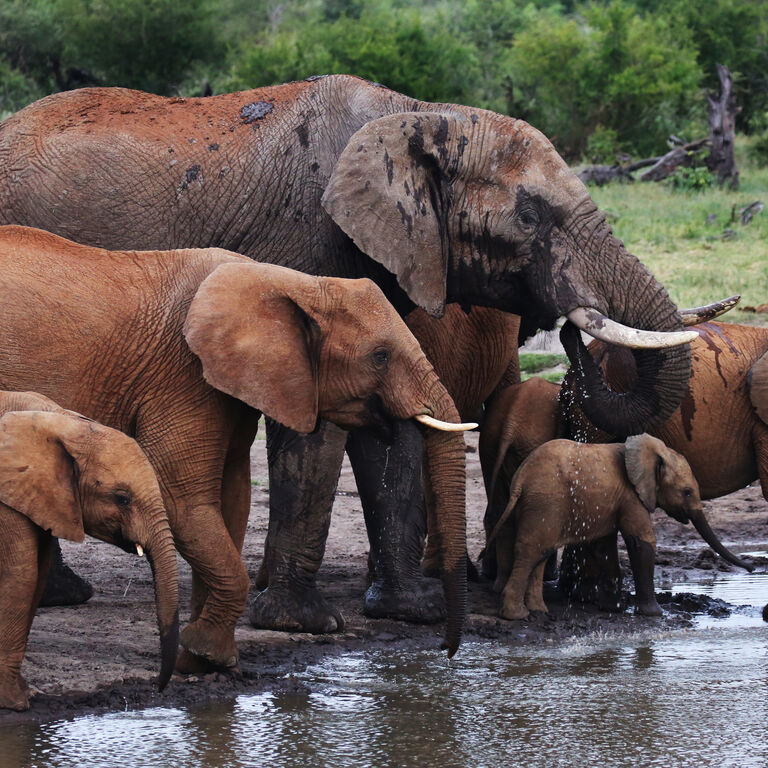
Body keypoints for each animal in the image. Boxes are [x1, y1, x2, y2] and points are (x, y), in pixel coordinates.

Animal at [0, 225, 474, 668]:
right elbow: (181, 499)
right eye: (380, 356)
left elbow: (232, 499)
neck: (294, 283)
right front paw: (207, 652)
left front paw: (202, 663)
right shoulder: (183, 373)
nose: (448, 650)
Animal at [0, 390, 179, 711]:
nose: (158, 689)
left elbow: (38, 574)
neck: (64, 422)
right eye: (122, 498)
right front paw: (14, 703)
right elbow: (21, 575)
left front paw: (27, 693)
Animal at [487, 434, 753, 621]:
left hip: (538, 505)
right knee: (532, 551)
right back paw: (517, 616)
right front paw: (653, 614)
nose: (751, 567)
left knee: (541, 552)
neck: (653, 451)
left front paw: (613, 608)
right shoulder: (631, 496)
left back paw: (539, 612)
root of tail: (521, 478)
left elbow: (603, 545)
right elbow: (641, 540)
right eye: (686, 492)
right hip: (546, 502)